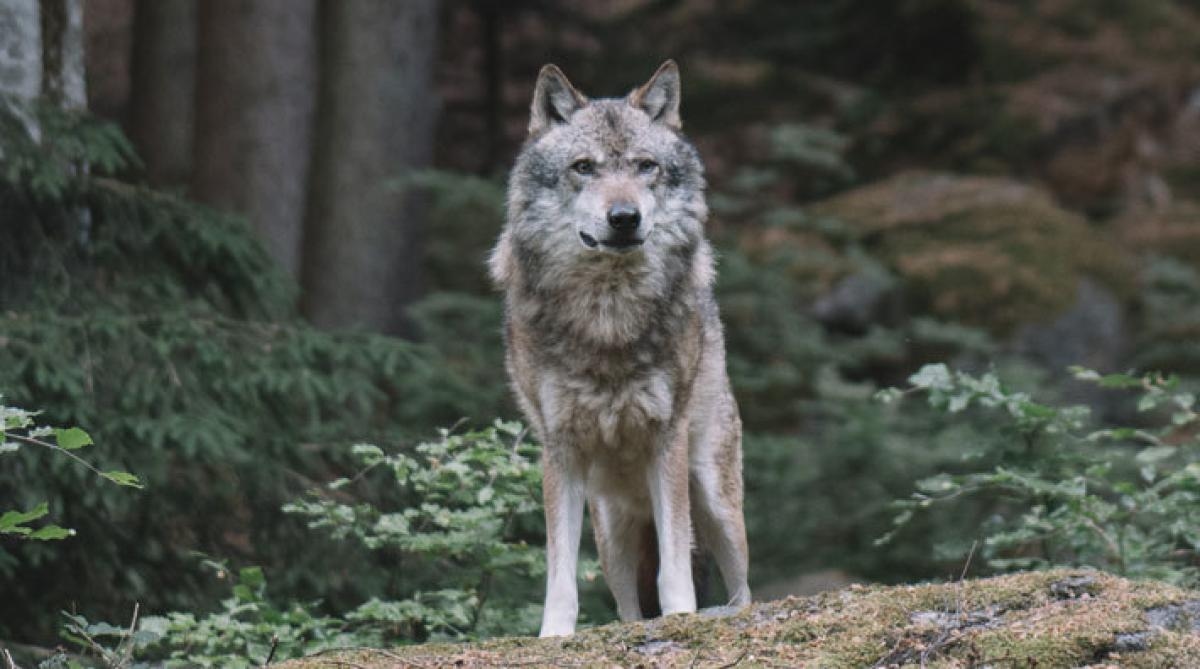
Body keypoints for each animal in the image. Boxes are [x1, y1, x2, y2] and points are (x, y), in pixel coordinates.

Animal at [487, 59, 748, 637]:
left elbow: (675, 568)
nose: (625, 217)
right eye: (583, 167)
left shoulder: (666, 439)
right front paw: (553, 637)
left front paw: (681, 617)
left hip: (715, 500)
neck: (607, 315)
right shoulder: (560, 449)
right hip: (613, 536)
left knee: (742, 587)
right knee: (628, 607)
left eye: (646, 166)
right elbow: (560, 573)